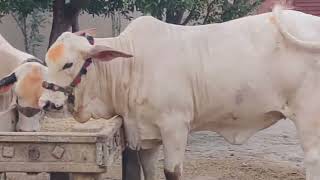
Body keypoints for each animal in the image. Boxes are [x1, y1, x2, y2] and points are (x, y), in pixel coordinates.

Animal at [39, 5, 320, 180]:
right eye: (47, 60)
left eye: (68, 64)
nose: (45, 102)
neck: (131, 65)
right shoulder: (146, 136)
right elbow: (149, 171)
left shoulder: (175, 126)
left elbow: (172, 172)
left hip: (308, 116)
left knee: (313, 159)